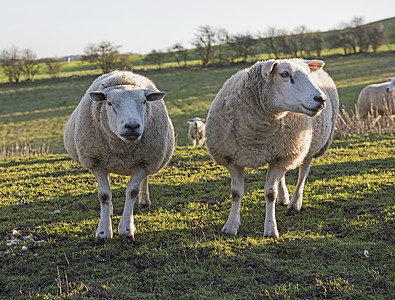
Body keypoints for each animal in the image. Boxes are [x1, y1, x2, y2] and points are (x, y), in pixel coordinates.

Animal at [64, 71, 174, 244]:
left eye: (144, 101)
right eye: (109, 103)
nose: (132, 126)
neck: (122, 149)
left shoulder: (144, 161)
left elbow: (132, 191)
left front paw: (127, 230)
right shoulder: (96, 162)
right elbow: (104, 195)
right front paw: (103, 232)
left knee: (144, 181)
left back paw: (144, 201)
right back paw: (109, 210)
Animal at [206, 58, 338, 237]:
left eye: (308, 74)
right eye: (284, 74)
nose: (321, 98)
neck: (256, 135)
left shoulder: (283, 156)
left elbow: (270, 193)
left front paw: (270, 229)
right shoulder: (232, 158)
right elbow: (236, 193)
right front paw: (230, 226)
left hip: (308, 146)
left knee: (303, 172)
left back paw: (295, 203)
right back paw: (284, 198)